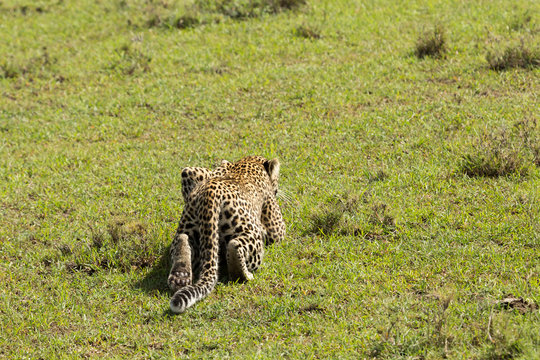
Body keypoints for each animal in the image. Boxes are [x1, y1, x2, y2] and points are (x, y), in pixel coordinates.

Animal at [169, 155, 286, 312]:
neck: (248, 162)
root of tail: (210, 193)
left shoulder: (192, 172)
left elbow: (188, 171)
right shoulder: (275, 225)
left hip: (190, 226)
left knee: (182, 239)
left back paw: (180, 277)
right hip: (250, 233)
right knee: (235, 245)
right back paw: (243, 275)